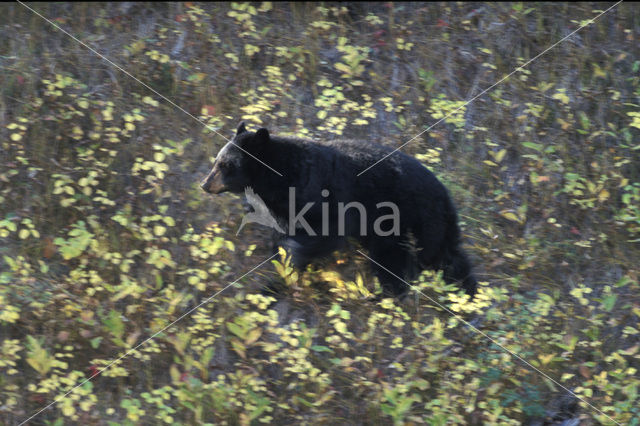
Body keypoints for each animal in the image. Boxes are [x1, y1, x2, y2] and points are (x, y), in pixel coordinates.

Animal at [202, 121, 478, 298]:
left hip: (404, 222)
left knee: (398, 261)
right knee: (449, 257)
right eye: (216, 161)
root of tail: (446, 199)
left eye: (225, 165)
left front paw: (280, 276)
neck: (280, 177)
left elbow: (320, 236)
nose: (204, 184)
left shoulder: (322, 200)